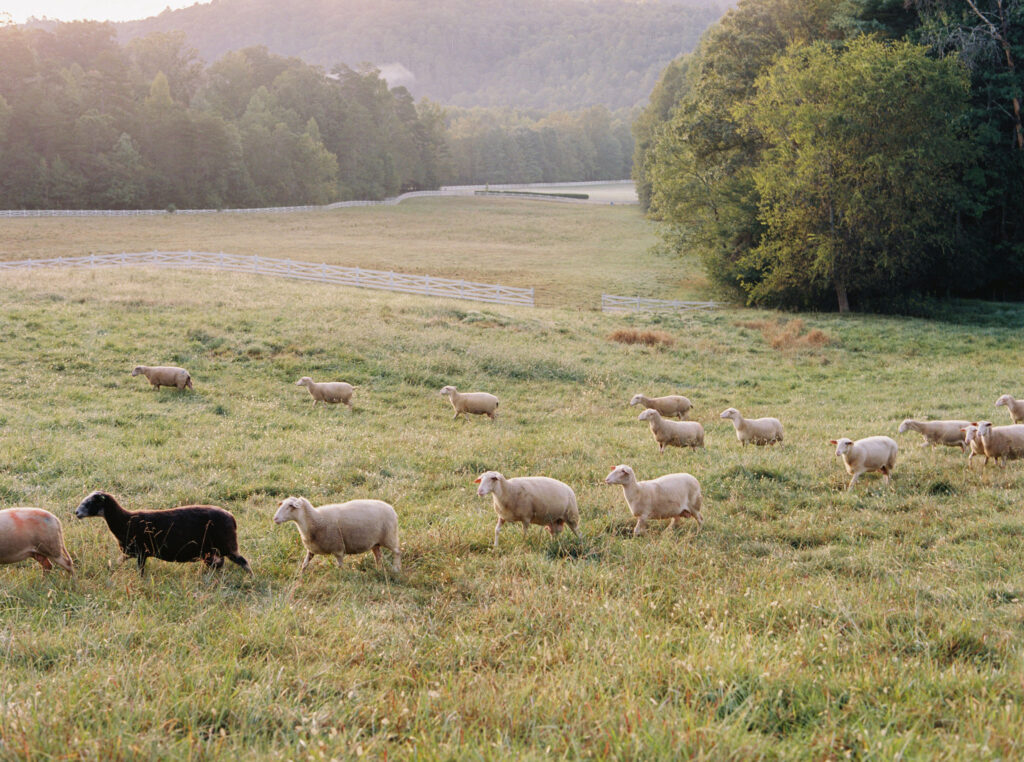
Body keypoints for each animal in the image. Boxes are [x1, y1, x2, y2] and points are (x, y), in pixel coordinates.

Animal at [74, 491, 251, 573]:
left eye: (89, 503)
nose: (76, 513)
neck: (124, 521)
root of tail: (231, 517)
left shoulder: (141, 552)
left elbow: (140, 570)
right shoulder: (130, 552)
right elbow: (117, 563)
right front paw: (110, 571)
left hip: (227, 545)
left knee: (243, 561)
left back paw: (250, 578)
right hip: (213, 550)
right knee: (219, 563)